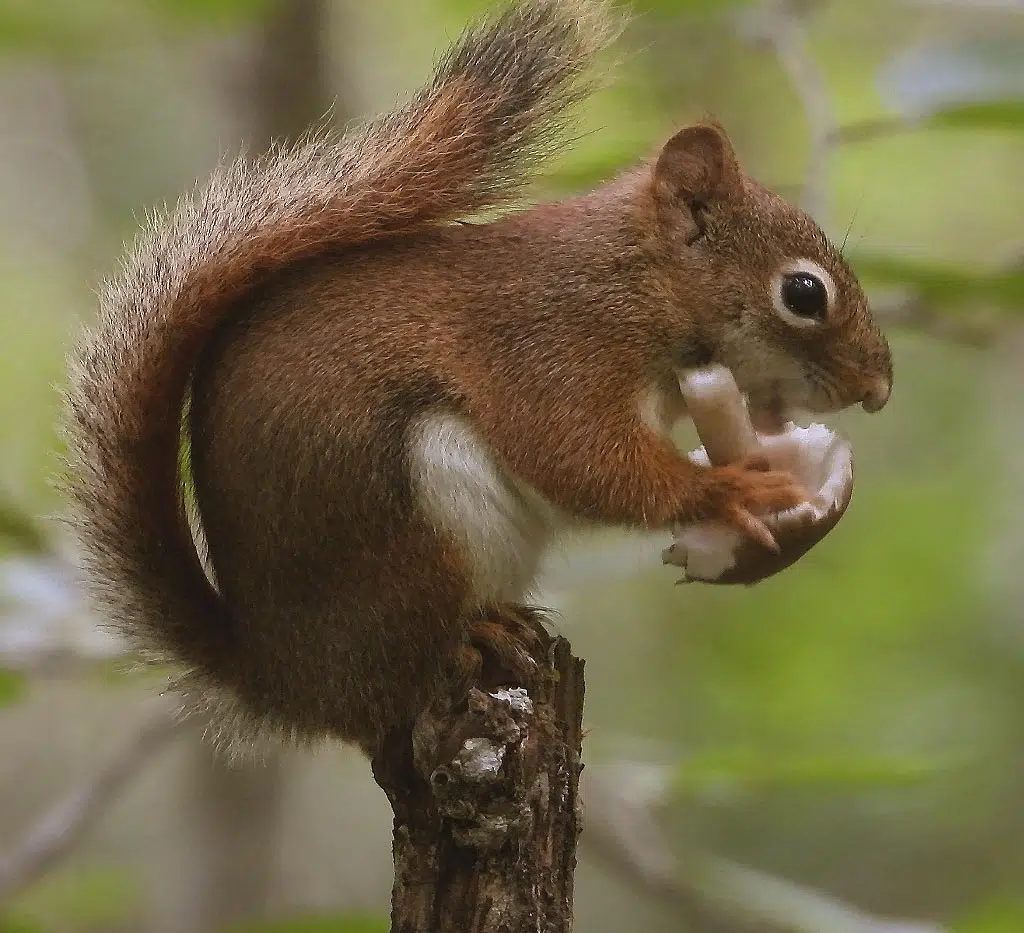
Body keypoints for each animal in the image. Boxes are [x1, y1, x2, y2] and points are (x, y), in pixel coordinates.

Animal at [61, 0, 888, 753]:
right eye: (803, 294)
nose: (877, 390)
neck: (637, 280)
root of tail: (288, 682)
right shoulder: (552, 351)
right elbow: (581, 459)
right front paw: (727, 490)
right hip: (416, 525)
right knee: (408, 666)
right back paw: (474, 636)